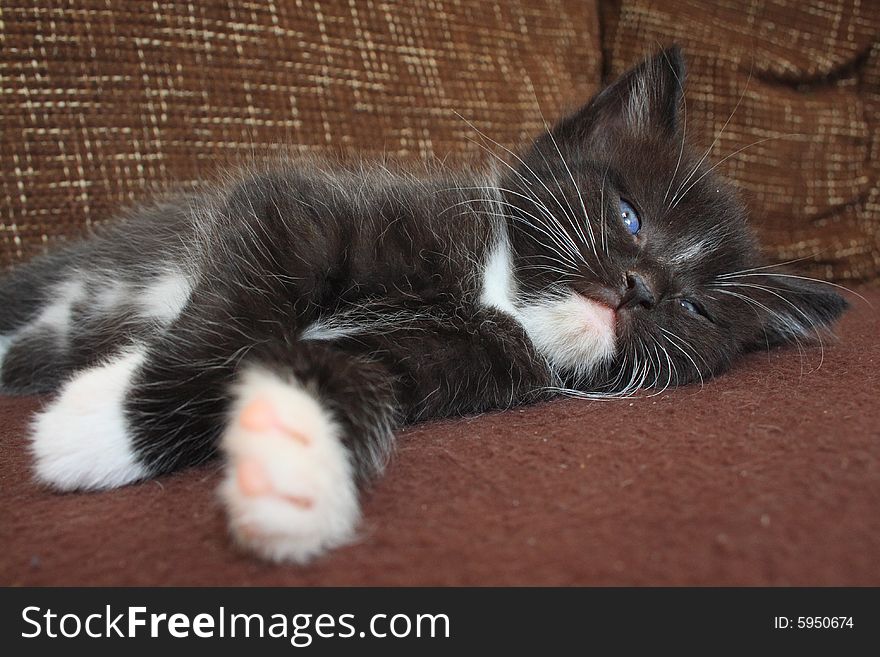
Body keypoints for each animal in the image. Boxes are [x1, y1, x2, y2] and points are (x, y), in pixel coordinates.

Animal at [0, 48, 844, 560]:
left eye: (696, 310)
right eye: (631, 215)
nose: (643, 289)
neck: (500, 295)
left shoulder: (454, 360)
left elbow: (361, 373)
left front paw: (292, 457)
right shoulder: (295, 214)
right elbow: (237, 310)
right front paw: (104, 428)